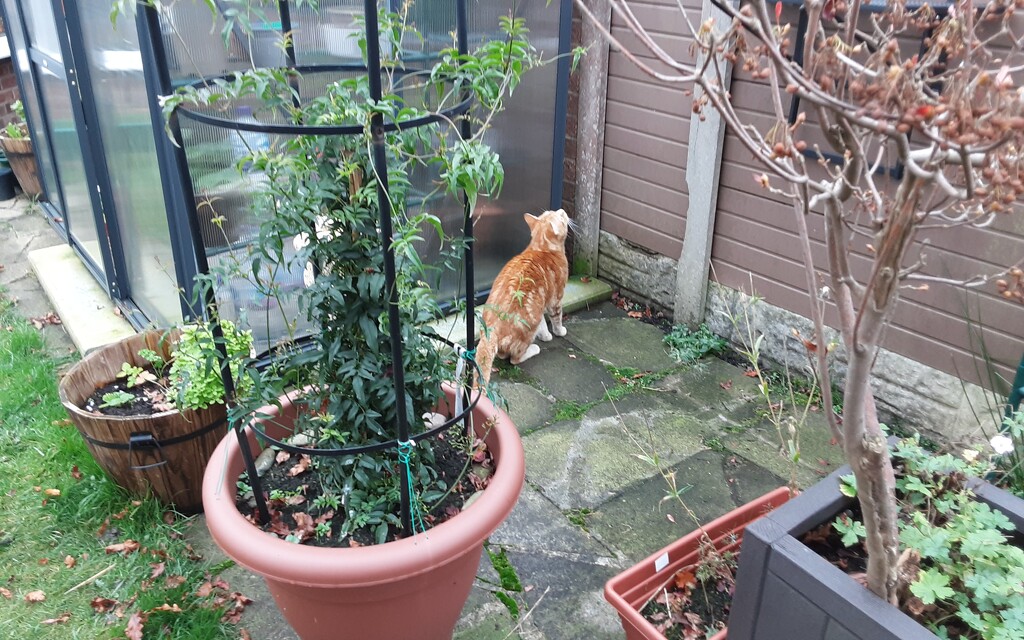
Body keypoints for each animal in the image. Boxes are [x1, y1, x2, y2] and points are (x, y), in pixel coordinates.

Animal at [475, 208, 573, 385]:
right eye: (562, 216)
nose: (562, 210)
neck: (541, 248)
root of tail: (490, 329)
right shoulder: (555, 300)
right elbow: (556, 318)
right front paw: (559, 331)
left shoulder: (541, 303)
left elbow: (543, 324)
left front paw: (545, 335)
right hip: (528, 327)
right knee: (514, 358)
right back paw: (533, 349)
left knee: (503, 354)